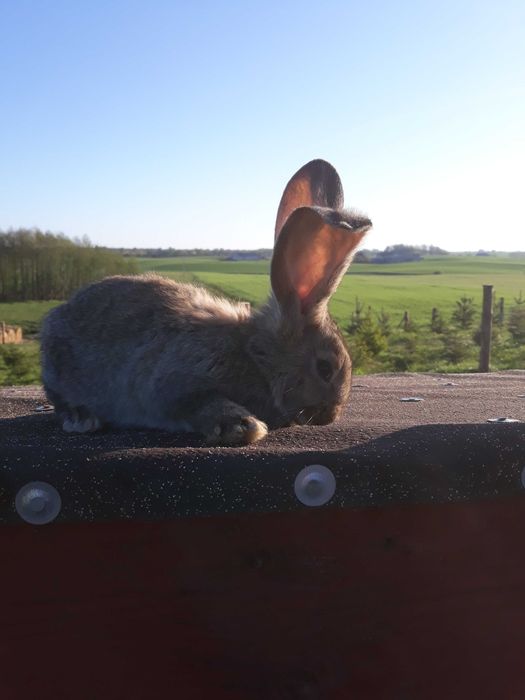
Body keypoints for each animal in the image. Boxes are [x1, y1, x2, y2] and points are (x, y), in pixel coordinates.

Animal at [41, 160, 370, 442]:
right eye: (325, 368)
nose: (331, 415)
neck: (255, 356)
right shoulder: (175, 384)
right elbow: (200, 404)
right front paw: (244, 427)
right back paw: (81, 418)